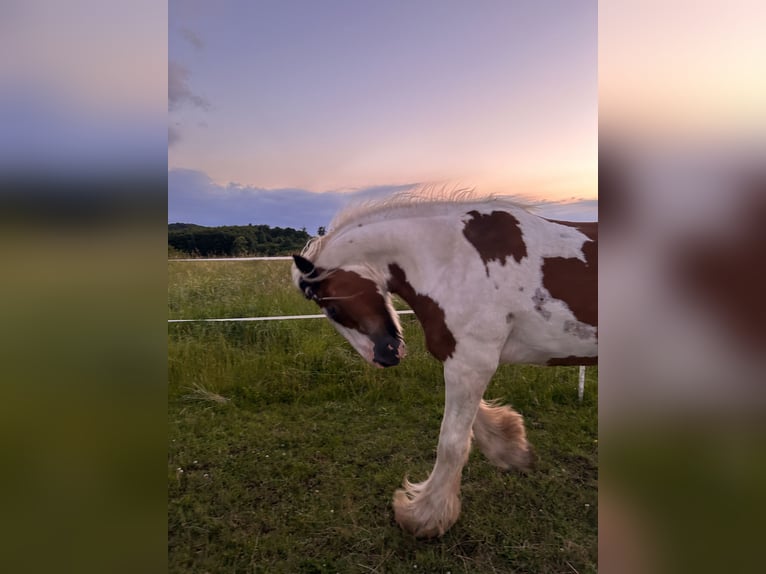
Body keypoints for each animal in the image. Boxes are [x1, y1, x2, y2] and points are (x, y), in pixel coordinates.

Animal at [292, 194, 596, 540]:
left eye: (331, 307)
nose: (384, 356)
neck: (453, 259)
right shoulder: (461, 357)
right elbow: (472, 425)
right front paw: (513, 450)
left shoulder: (472, 361)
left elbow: (451, 442)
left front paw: (423, 516)